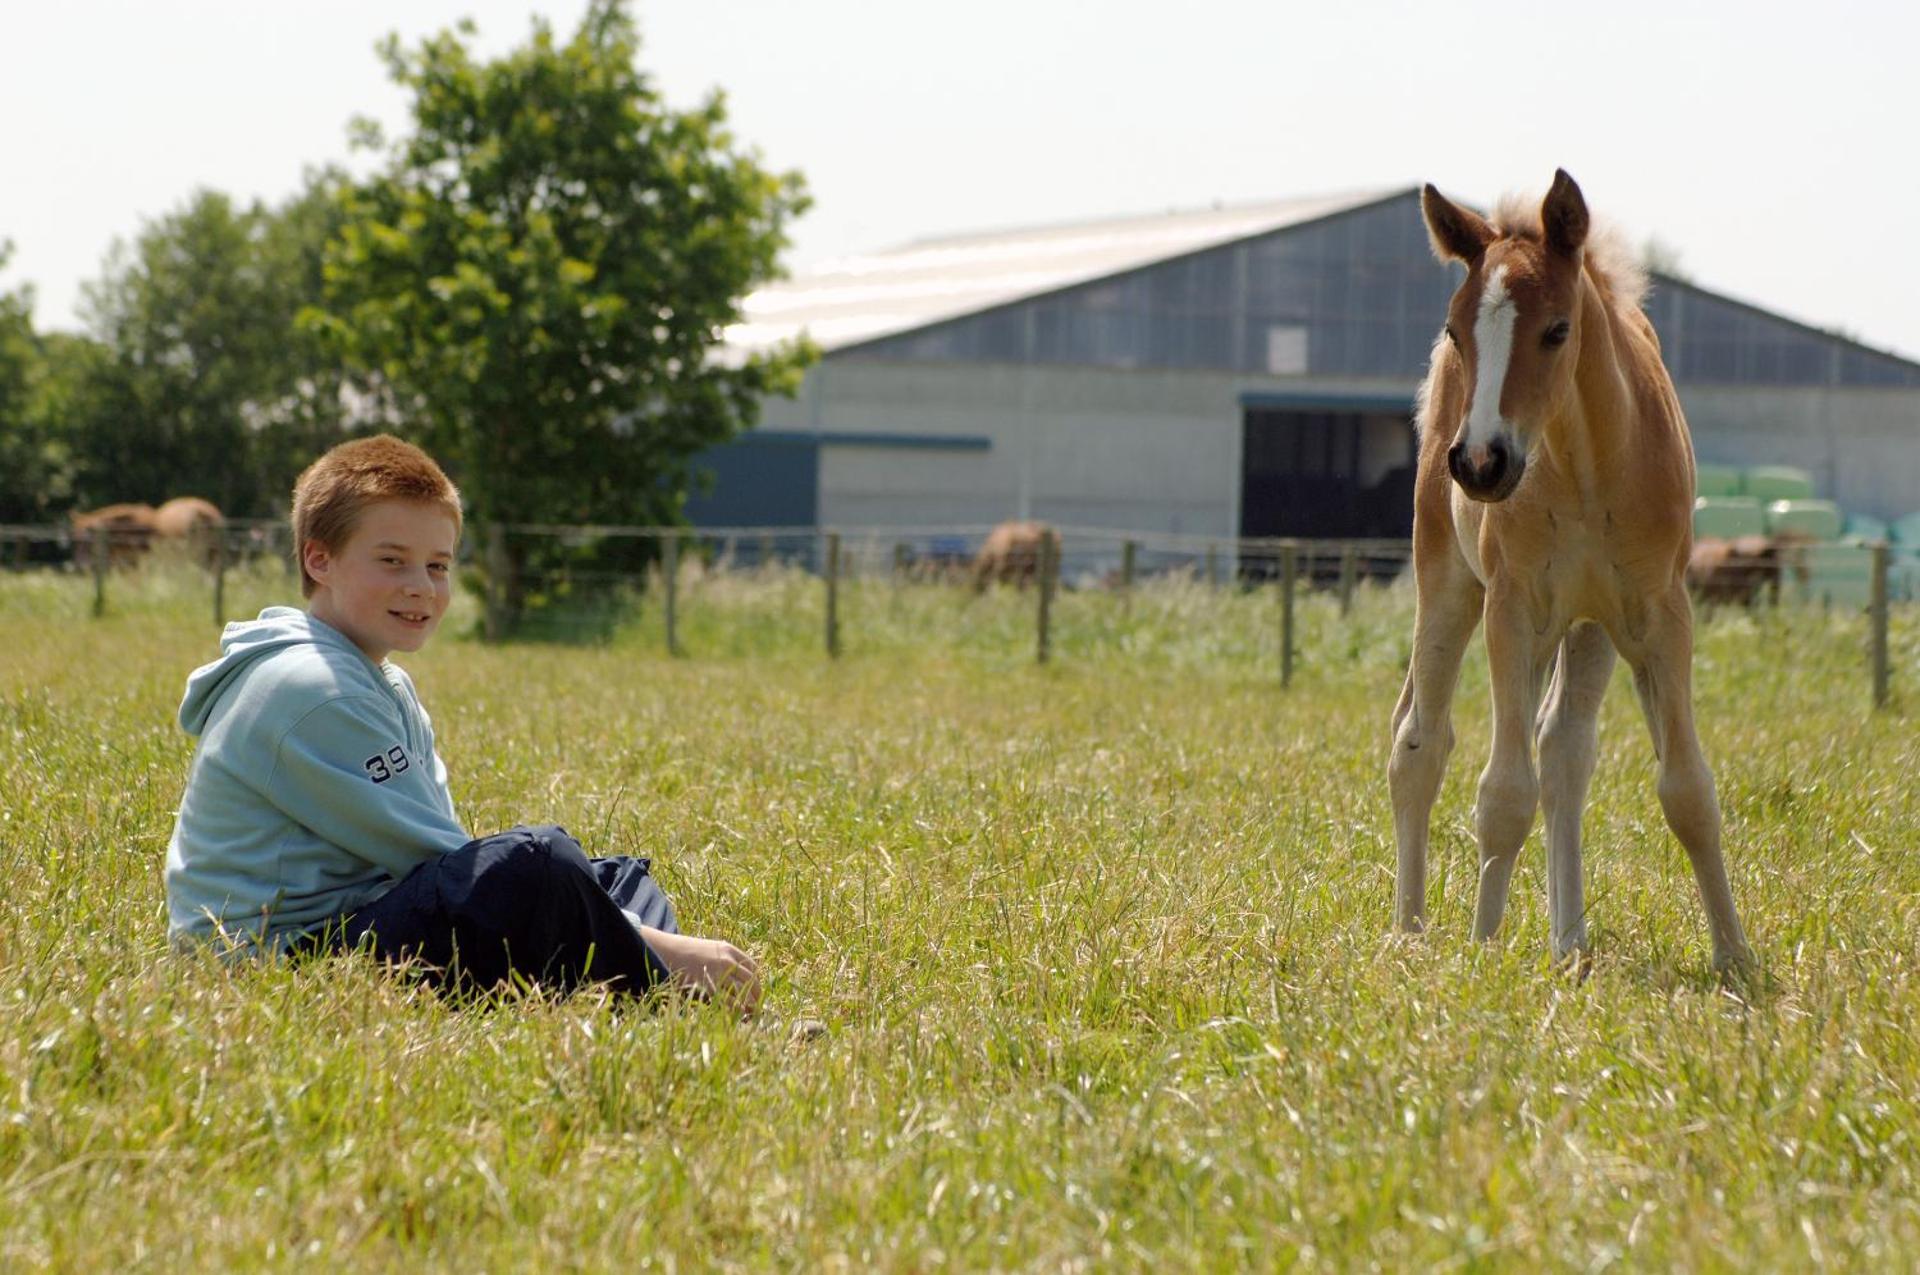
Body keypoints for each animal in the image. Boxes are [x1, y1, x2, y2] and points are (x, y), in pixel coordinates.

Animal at [1388, 171, 1753, 973]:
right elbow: (1501, 792)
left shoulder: (1659, 613)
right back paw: (1410, 930)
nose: (1480, 462)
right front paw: (1483, 950)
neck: (1586, 466)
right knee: (1418, 745)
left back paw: (1569, 941)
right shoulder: (1512, 608)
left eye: (1557, 331)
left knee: (1563, 751)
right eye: (1459, 331)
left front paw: (1736, 957)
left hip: (1588, 624)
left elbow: (1688, 790)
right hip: (1449, 584)